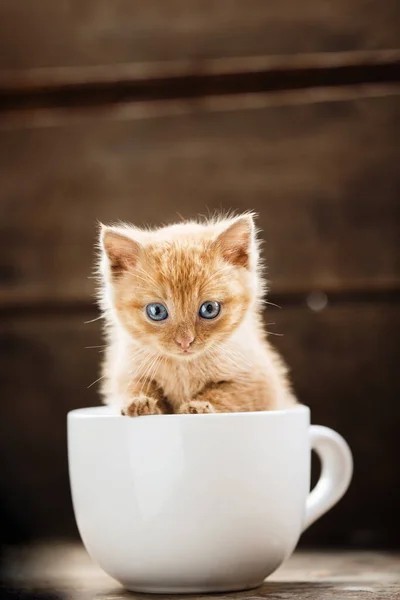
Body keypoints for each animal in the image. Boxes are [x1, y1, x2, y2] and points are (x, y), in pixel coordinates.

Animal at [97, 213, 296, 414]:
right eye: (156, 311)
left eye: (209, 309)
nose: (185, 341)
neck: (184, 367)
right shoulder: (125, 371)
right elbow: (135, 386)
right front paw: (139, 403)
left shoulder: (262, 383)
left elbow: (227, 394)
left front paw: (198, 406)